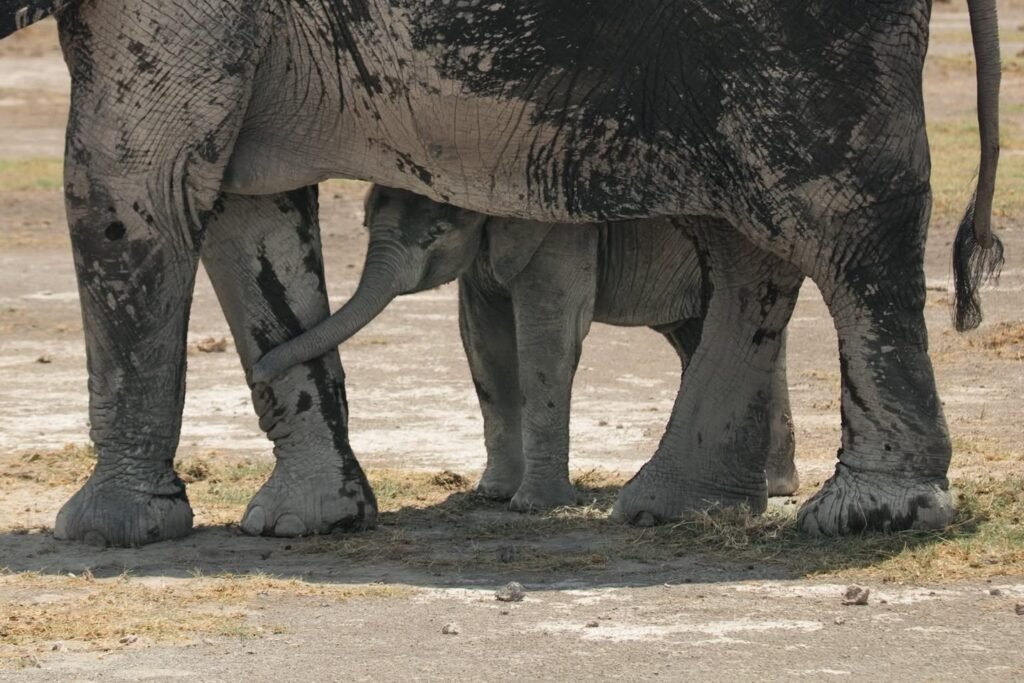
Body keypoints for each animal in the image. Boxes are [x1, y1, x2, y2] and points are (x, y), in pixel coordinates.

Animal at [265, 185, 799, 510]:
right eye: (366, 218)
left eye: (439, 233)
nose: (265, 369)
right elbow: (485, 344)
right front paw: (493, 495)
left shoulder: (560, 232)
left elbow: (548, 338)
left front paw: (532, 506)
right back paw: (769, 487)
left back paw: (769, 489)